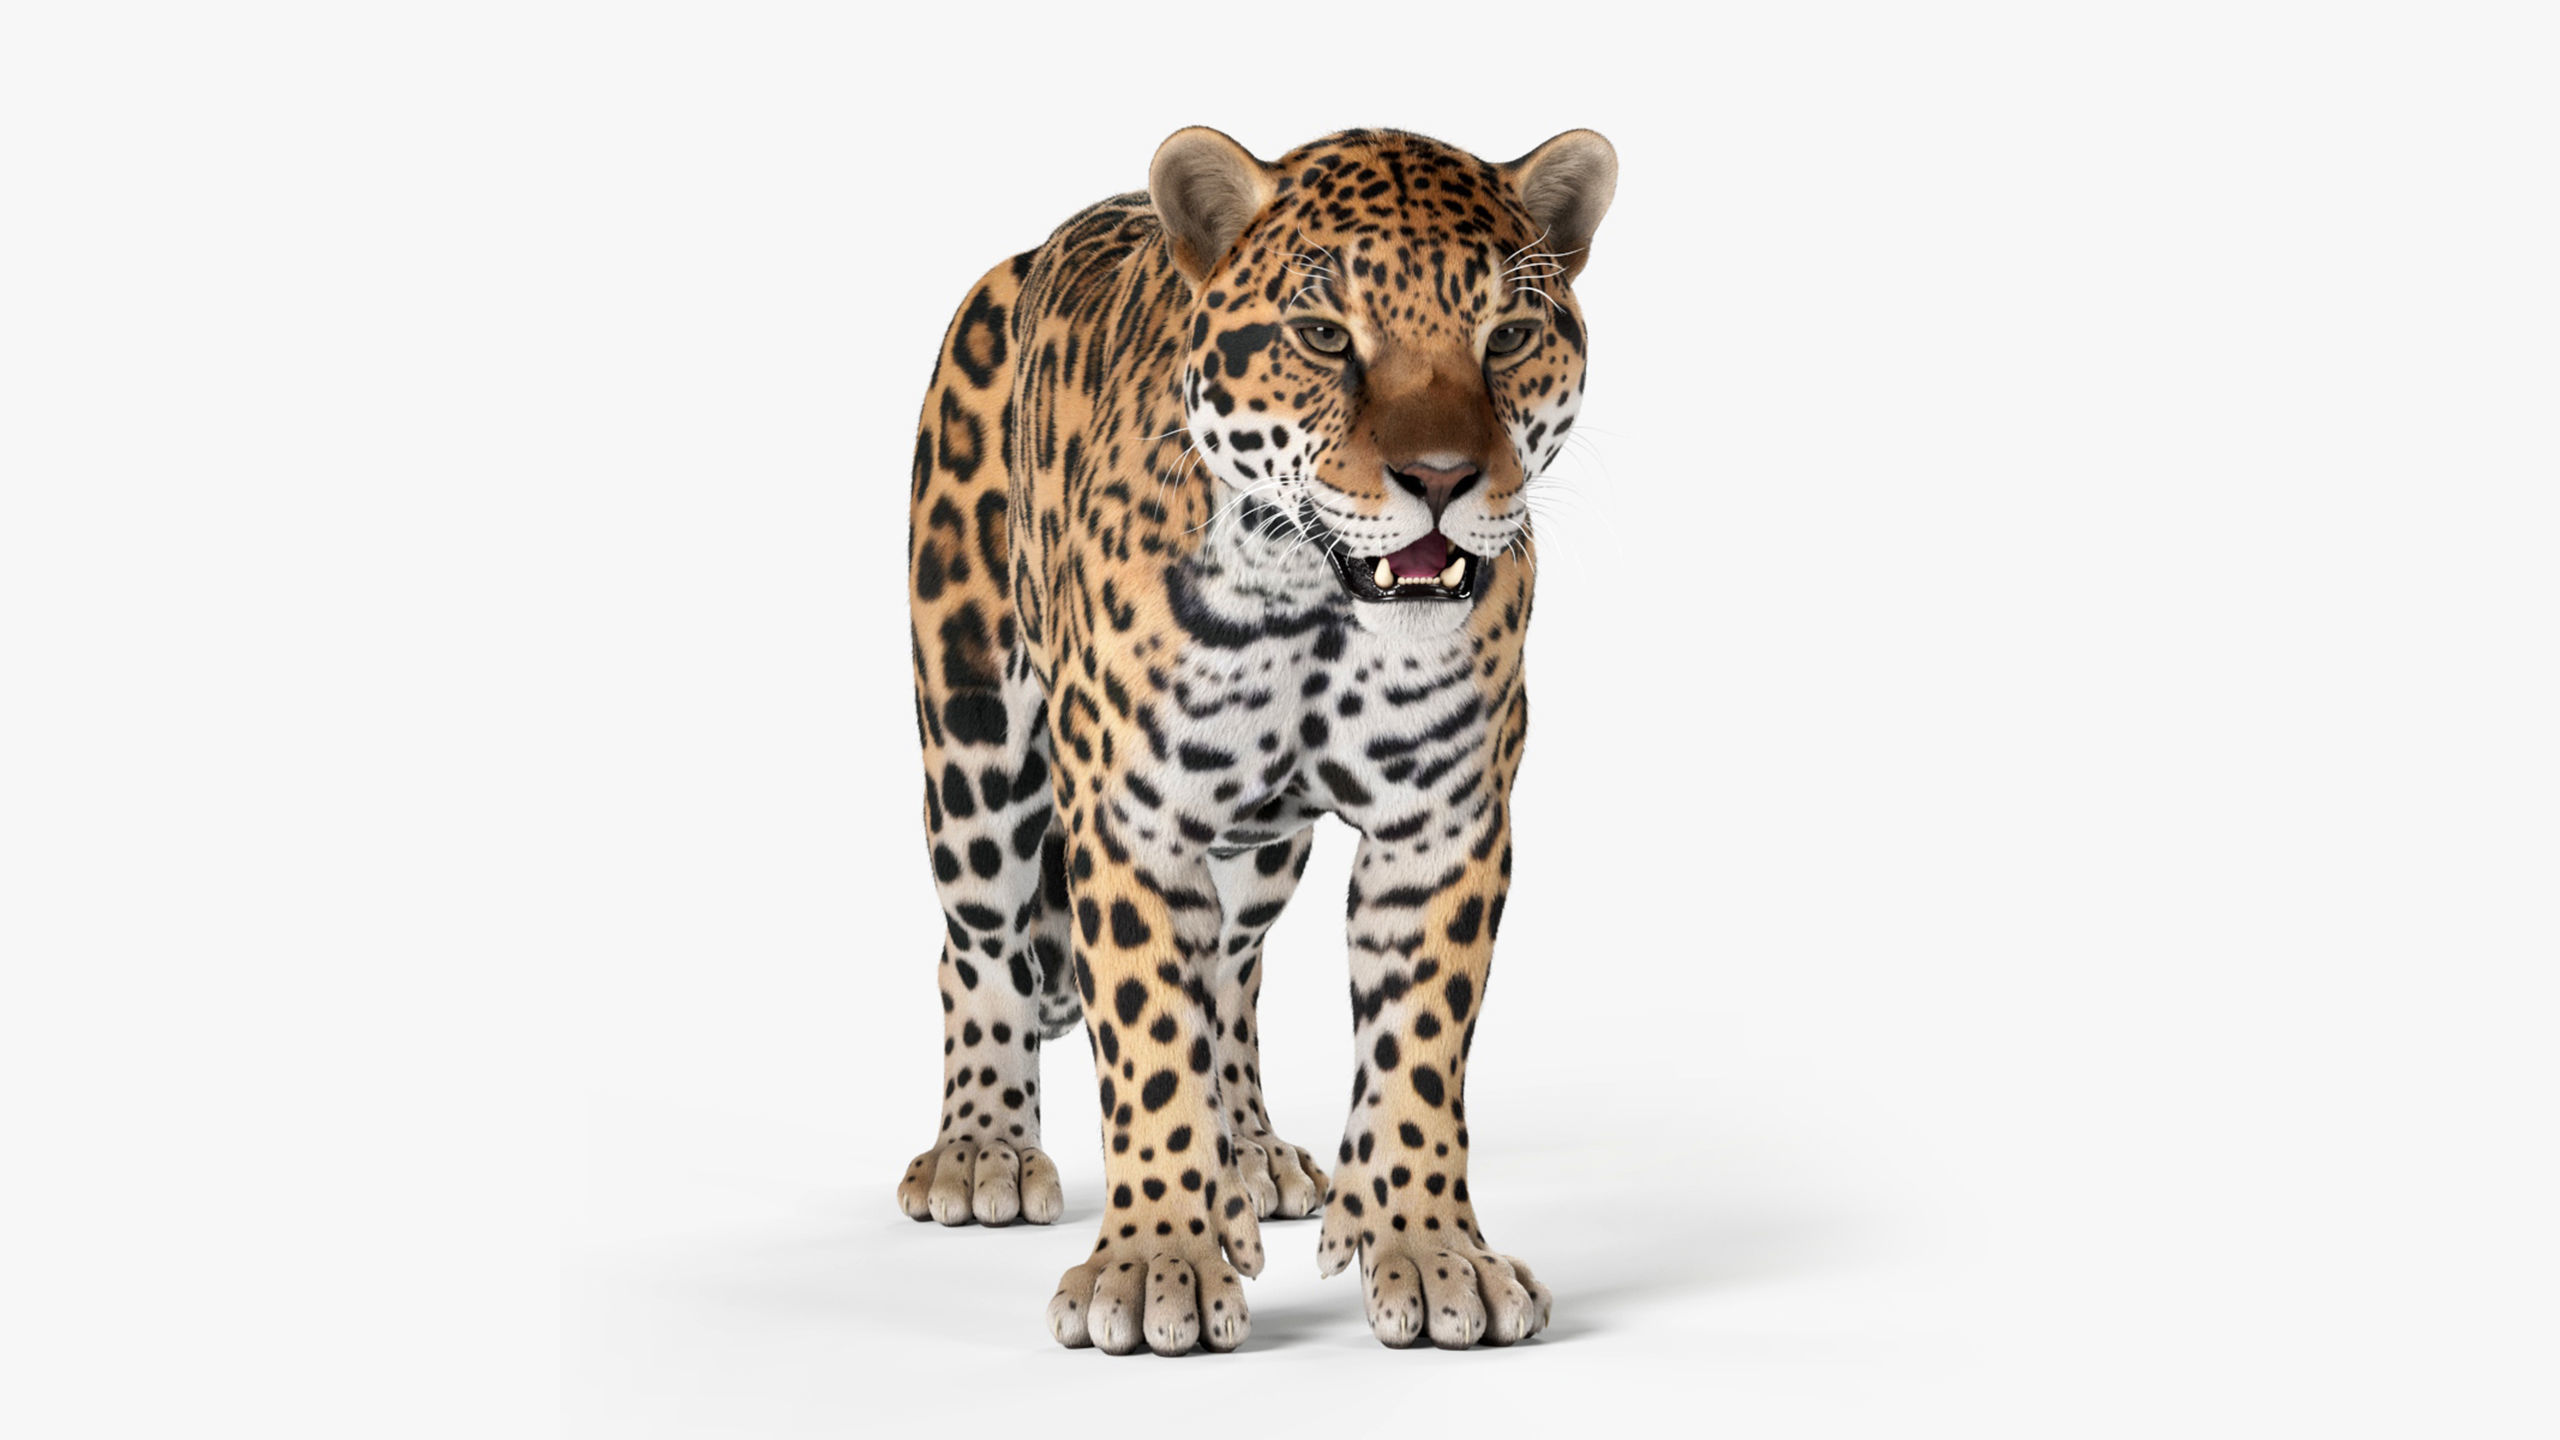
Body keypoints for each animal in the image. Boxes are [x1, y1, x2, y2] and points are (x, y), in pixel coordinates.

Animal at [894, 124, 1616, 1355]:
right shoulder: (1130, 819)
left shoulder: (1446, 824)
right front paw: (1155, 1263)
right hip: (974, 735)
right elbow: (1146, 1044)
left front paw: (1432, 1249)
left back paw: (1252, 1157)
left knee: (1232, 970)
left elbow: (1417, 1049)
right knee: (980, 946)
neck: (1312, 607)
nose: (1440, 480)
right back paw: (982, 1147)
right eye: (1325, 337)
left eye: (1508, 337)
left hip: (1263, 845)